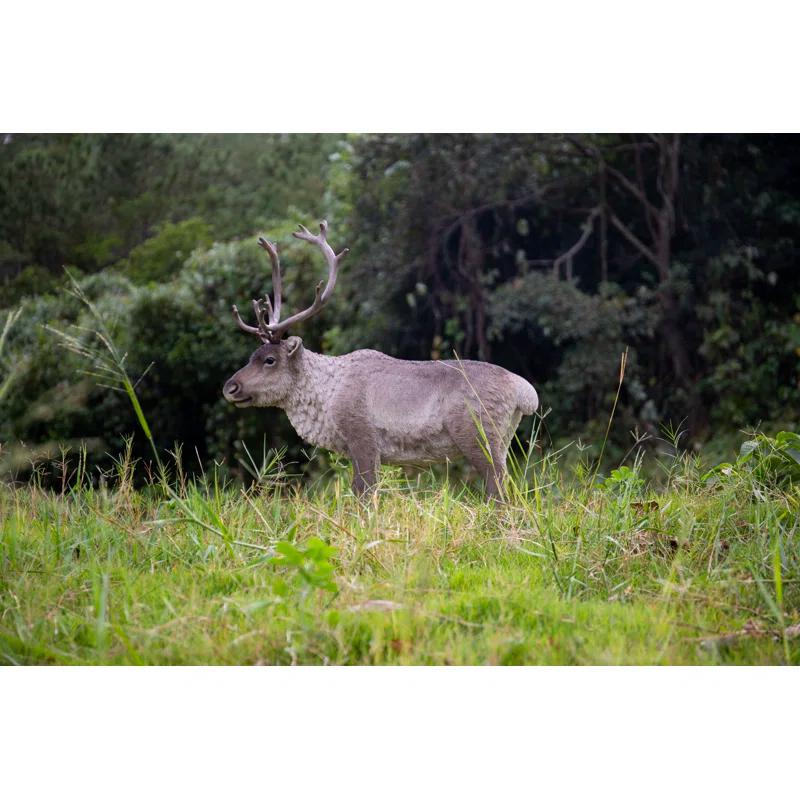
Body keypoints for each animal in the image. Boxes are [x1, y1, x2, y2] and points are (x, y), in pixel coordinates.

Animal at [223, 220, 539, 497]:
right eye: (252, 355)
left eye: (269, 359)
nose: (230, 387)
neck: (325, 397)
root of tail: (526, 394)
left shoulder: (362, 436)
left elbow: (364, 494)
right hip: (503, 439)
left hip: (478, 435)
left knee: (498, 489)